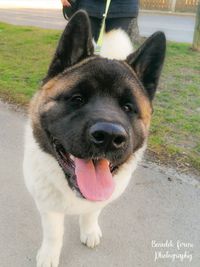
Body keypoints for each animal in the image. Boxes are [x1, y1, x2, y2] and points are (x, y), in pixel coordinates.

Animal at [23, 10, 166, 267]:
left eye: (128, 107)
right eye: (77, 99)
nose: (109, 136)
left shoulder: (100, 199)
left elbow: (91, 213)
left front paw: (89, 230)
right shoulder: (48, 208)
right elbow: (54, 232)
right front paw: (49, 254)